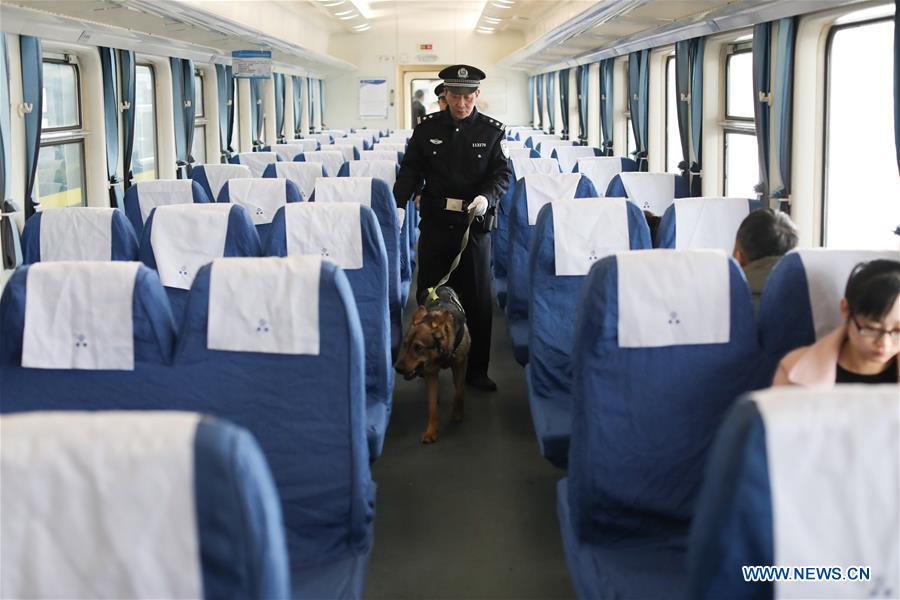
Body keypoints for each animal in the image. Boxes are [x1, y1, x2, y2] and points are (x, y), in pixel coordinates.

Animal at [398, 284, 474, 442]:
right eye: (405, 344)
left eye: (418, 347)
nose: (397, 368)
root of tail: (442, 285)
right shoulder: (431, 372)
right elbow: (432, 406)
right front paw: (431, 431)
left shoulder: (461, 363)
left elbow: (459, 390)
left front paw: (457, 413)